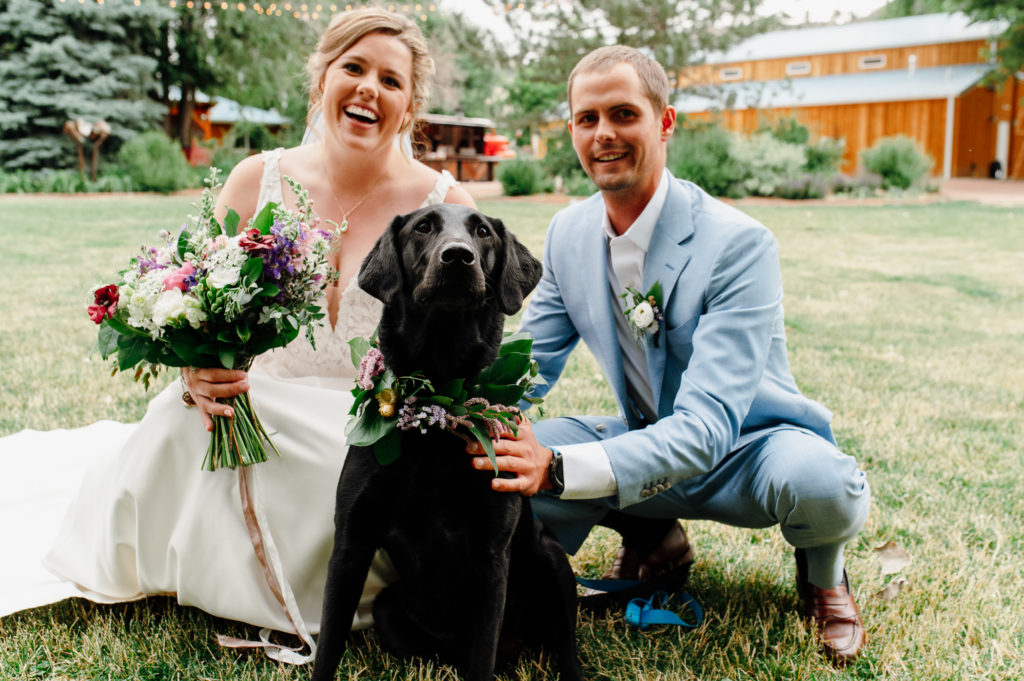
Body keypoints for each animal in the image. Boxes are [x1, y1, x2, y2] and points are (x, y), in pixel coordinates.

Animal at [309, 202, 585, 679]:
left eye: (482, 232)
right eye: (423, 227)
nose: (458, 257)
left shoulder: (493, 555)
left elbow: (482, 657)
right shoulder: (351, 542)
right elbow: (328, 644)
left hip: (550, 559)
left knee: (562, 646)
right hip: (386, 608)